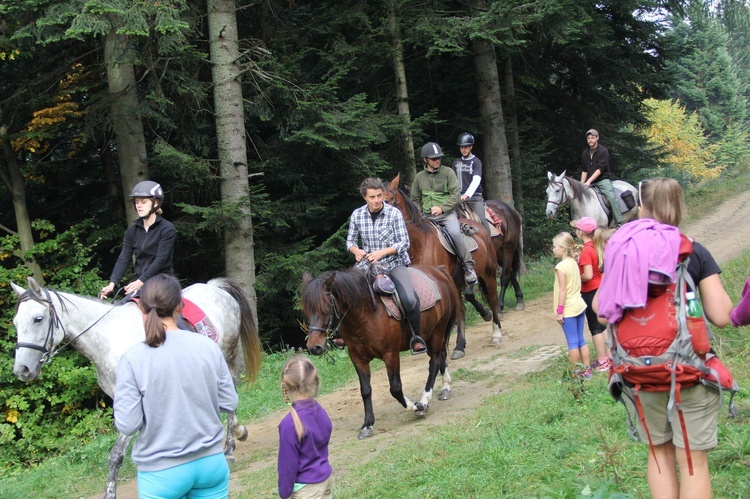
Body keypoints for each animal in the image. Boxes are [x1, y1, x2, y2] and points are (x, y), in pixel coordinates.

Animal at [9, 278, 264, 499]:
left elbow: (116, 455)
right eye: (15, 323)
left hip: (227, 355)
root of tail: (214, 287)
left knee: (230, 399)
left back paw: (231, 445)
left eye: (38, 319)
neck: (109, 339)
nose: (22, 369)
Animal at [302, 268, 462, 440]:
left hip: (438, 331)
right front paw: (367, 425)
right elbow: (365, 390)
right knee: (439, 358)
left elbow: (395, 388)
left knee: (434, 363)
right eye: (306, 309)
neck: (365, 314)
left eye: (326, 307)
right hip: (430, 334)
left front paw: (416, 406)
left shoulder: (390, 354)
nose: (314, 347)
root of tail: (438, 271)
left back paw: (424, 401)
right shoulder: (357, 358)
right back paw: (446, 388)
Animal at [384, 176, 502, 360]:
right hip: (457, 284)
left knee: (493, 298)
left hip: (488, 272)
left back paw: (496, 332)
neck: (420, 243)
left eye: (389, 199)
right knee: (461, 310)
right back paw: (460, 346)